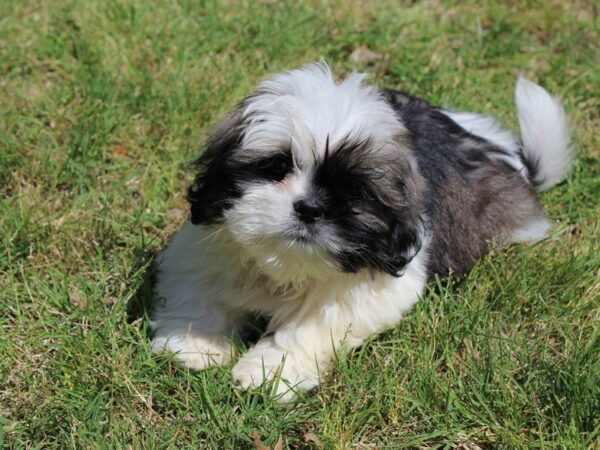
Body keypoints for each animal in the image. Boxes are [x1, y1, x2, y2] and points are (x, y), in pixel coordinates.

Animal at [149, 61, 572, 400]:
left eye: (354, 191)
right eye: (277, 166)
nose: (309, 208)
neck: (286, 265)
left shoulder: (377, 283)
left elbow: (312, 325)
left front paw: (268, 372)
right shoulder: (204, 243)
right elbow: (198, 289)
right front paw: (194, 344)